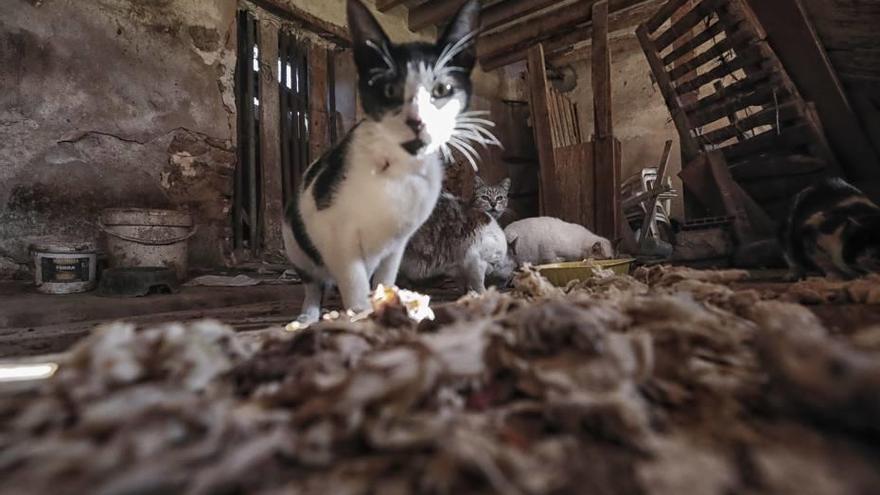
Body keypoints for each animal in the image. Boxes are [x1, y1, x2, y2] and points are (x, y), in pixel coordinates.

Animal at [284, 0, 488, 324]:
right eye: (390, 90)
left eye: (441, 90)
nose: (417, 121)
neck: (400, 174)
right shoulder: (334, 229)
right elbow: (353, 282)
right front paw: (361, 316)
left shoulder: (399, 242)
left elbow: (385, 278)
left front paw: (387, 304)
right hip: (294, 239)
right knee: (313, 282)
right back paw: (309, 314)